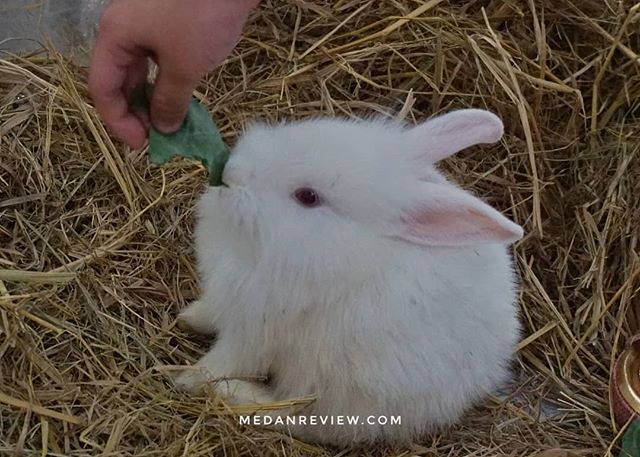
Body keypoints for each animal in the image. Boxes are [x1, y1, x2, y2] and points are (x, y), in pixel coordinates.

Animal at [174, 109, 520, 446]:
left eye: (308, 197)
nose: (232, 172)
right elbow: (209, 312)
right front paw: (187, 318)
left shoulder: (255, 332)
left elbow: (221, 362)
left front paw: (186, 379)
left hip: (340, 392)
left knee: (296, 417)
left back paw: (231, 392)